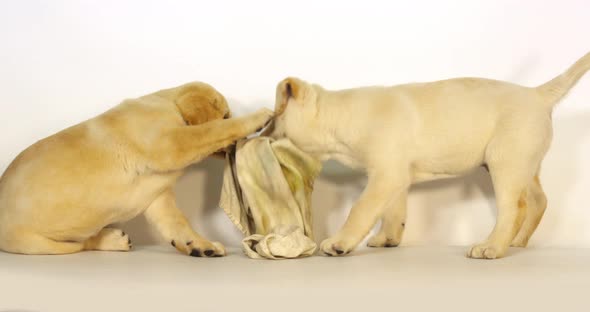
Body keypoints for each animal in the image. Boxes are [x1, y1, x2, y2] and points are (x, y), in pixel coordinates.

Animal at [0, 81, 272, 258]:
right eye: (226, 114)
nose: (240, 143)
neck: (168, 104)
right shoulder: (170, 144)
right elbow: (211, 131)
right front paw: (258, 117)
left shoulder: (157, 197)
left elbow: (177, 223)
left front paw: (200, 245)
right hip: (40, 244)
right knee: (81, 245)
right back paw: (112, 240)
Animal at [270, 53, 590, 258]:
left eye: (274, 117)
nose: (262, 132)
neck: (340, 117)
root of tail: (537, 94)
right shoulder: (396, 176)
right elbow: (393, 211)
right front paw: (388, 239)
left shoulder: (386, 175)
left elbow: (360, 209)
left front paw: (339, 242)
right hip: (525, 164)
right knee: (538, 201)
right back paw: (517, 242)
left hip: (505, 164)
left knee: (514, 208)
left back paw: (492, 247)